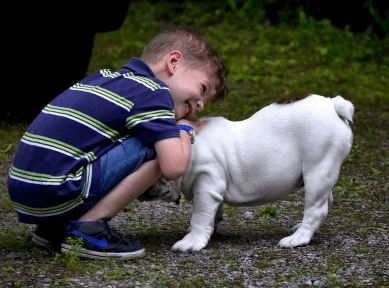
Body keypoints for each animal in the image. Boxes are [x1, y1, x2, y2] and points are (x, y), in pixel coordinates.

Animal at [148, 95, 352, 252]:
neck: (187, 146)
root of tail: (333, 105)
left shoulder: (206, 185)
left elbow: (200, 215)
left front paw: (191, 241)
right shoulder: (213, 189)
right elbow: (214, 212)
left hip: (318, 168)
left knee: (316, 209)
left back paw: (297, 238)